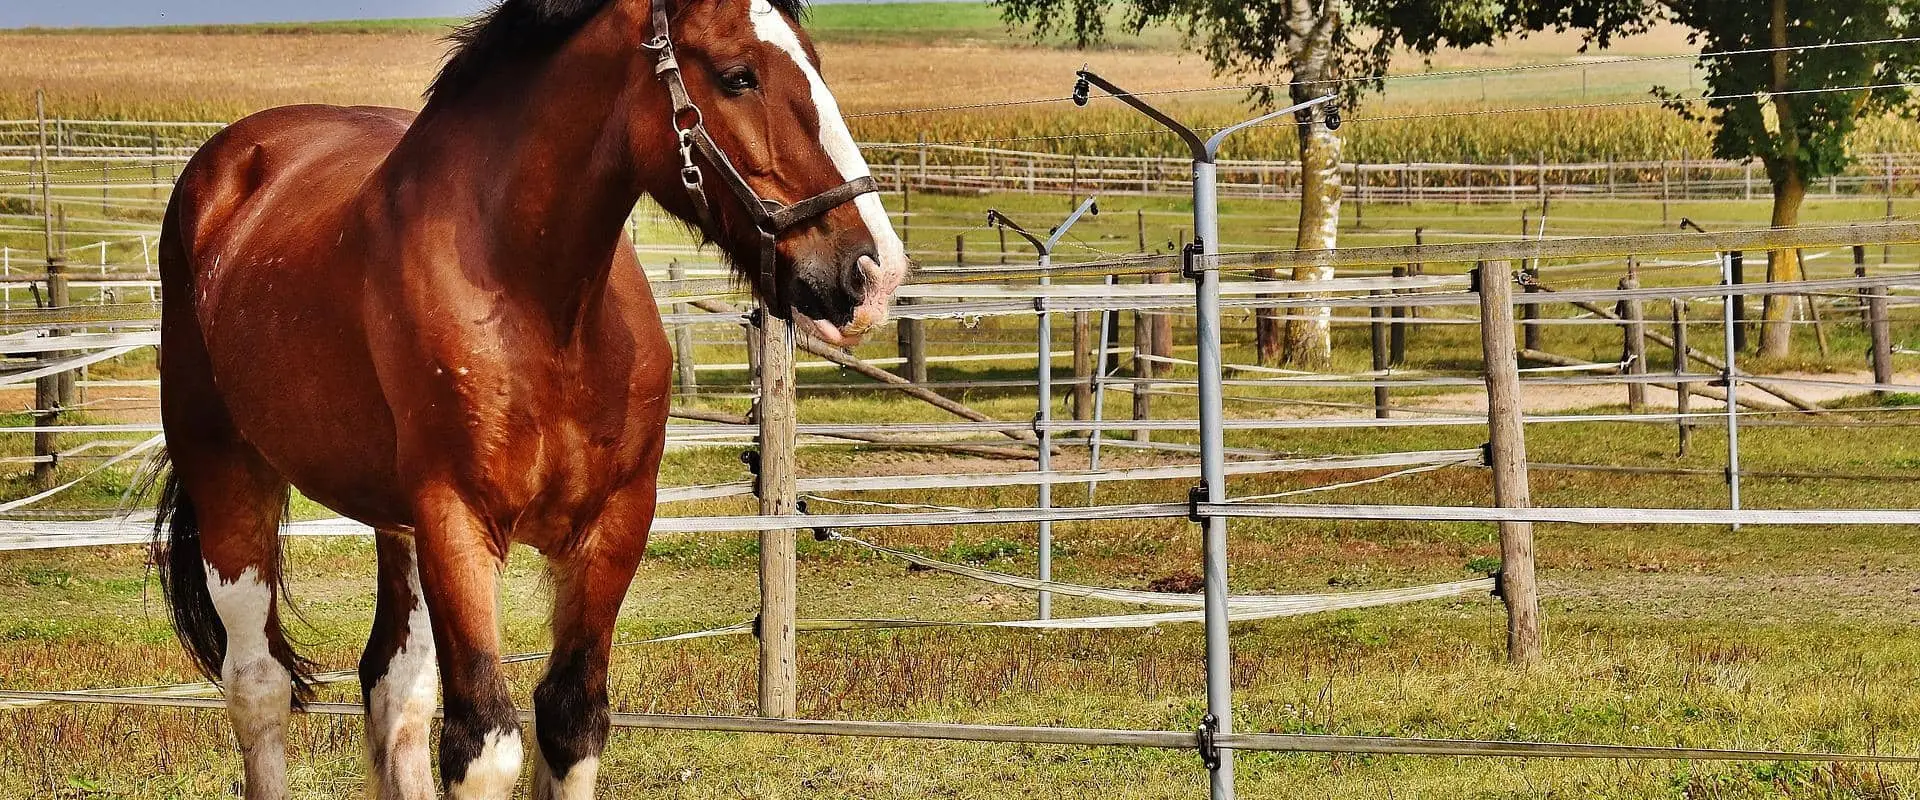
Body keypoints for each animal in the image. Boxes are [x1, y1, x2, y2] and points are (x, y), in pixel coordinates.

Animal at [149, 0, 908, 796]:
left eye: (816, 62)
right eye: (738, 76)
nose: (872, 273)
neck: (543, 308)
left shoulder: (614, 524)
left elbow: (572, 720)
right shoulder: (456, 523)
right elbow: (484, 743)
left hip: (395, 524)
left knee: (393, 688)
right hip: (229, 476)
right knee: (258, 684)